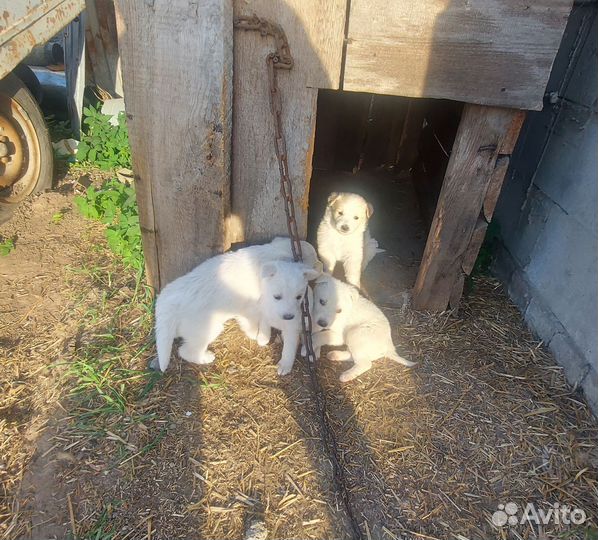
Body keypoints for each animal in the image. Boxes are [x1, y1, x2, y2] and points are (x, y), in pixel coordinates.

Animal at [157, 238, 322, 378]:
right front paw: (255, 334)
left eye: (299, 297)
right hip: (206, 330)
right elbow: (253, 323)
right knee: (186, 351)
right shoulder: (252, 307)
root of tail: (167, 301)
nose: (321, 265)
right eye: (314, 259)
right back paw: (206, 357)